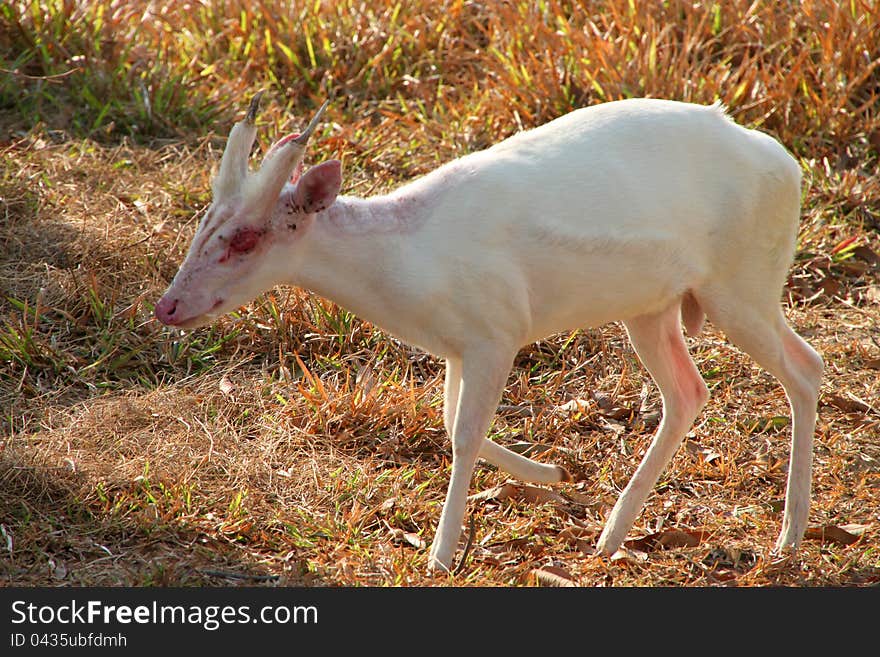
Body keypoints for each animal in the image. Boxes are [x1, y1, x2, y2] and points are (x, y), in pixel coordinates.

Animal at [155, 92, 820, 568]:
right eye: (204, 221)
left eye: (245, 237)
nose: (168, 307)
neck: (406, 259)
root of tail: (785, 163)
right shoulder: (457, 346)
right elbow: (450, 417)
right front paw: (555, 477)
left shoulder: (496, 334)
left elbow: (464, 433)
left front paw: (441, 556)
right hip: (652, 308)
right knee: (688, 391)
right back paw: (610, 535)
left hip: (740, 288)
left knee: (804, 366)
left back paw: (787, 538)